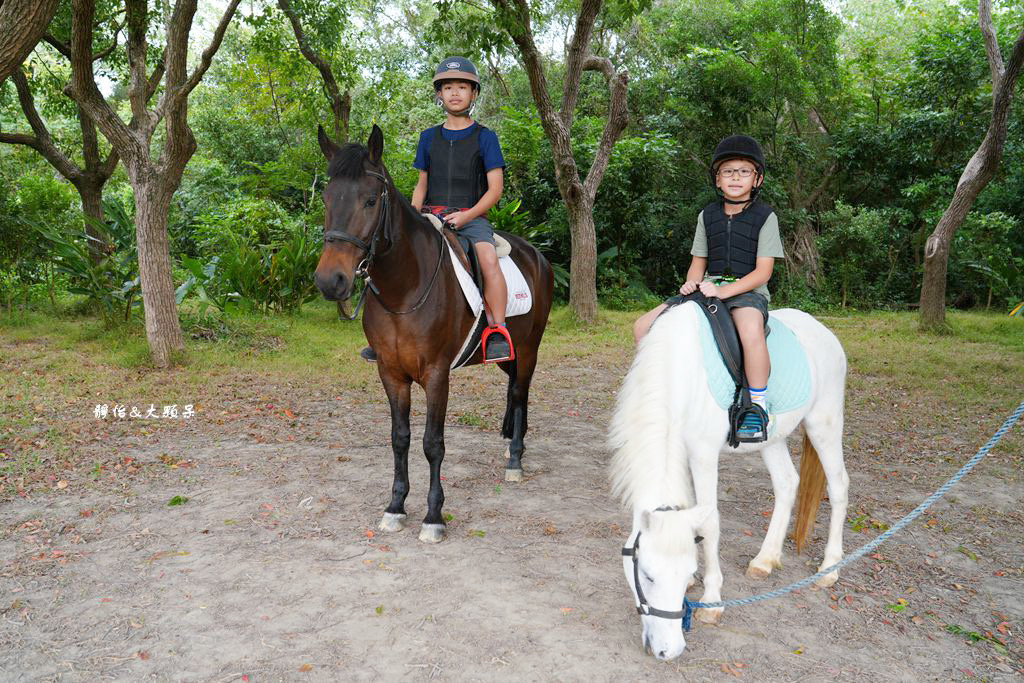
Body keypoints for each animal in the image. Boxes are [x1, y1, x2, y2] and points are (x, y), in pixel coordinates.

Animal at [313, 125, 552, 544]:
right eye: (327, 198)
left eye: (370, 200)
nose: (331, 281)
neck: (404, 288)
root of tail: (538, 256)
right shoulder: (391, 373)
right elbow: (400, 438)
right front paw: (395, 507)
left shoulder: (437, 374)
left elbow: (432, 443)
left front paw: (433, 515)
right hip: (505, 354)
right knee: (512, 389)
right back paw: (509, 439)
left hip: (529, 348)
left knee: (520, 393)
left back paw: (515, 458)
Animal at [606, 301, 847, 659]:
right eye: (647, 576)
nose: (669, 651)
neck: (681, 368)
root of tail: (825, 332)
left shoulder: (704, 455)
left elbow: (710, 523)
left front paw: (711, 600)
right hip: (771, 439)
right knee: (787, 482)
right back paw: (765, 559)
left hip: (824, 424)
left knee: (839, 485)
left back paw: (830, 568)